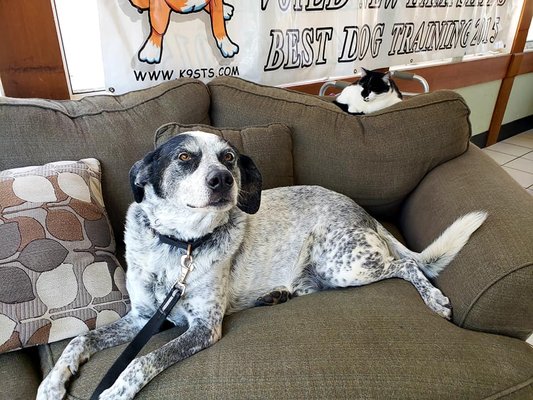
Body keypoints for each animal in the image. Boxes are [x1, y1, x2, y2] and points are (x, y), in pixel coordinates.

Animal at [37, 132, 486, 400]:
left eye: (229, 158)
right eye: (184, 156)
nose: (222, 179)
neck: (181, 246)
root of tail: (365, 213)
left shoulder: (203, 327)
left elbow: (141, 360)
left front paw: (115, 391)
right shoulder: (145, 317)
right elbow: (80, 341)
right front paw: (52, 383)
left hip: (344, 263)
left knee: (406, 267)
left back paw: (435, 299)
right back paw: (276, 294)